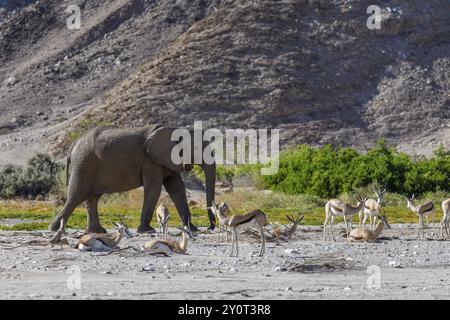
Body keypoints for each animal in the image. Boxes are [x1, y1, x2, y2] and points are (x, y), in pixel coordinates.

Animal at [48, 125, 217, 235]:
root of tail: (74, 144)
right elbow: (154, 188)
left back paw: (97, 231)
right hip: (84, 164)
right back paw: (54, 229)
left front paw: (192, 229)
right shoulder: (150, 161)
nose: (210, 227)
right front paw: (147, 230)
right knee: (77, 195)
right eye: (196, 149)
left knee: (92, 198)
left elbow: (176, 188)